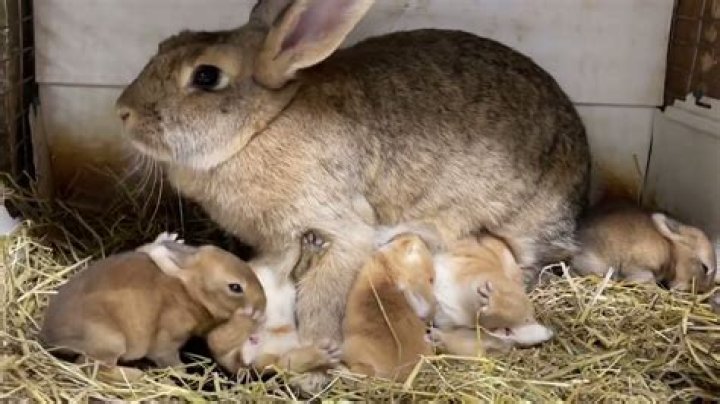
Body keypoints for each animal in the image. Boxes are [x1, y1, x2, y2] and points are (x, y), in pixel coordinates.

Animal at [39, 232, 266, 381]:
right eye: (235, 287)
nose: (262, 306)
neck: (189, 292)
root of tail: (49, 337)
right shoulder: (168, 340)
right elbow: (169, 359)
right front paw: (185, 374)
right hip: (109, 341)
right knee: (91, 368)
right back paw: (136, 374)